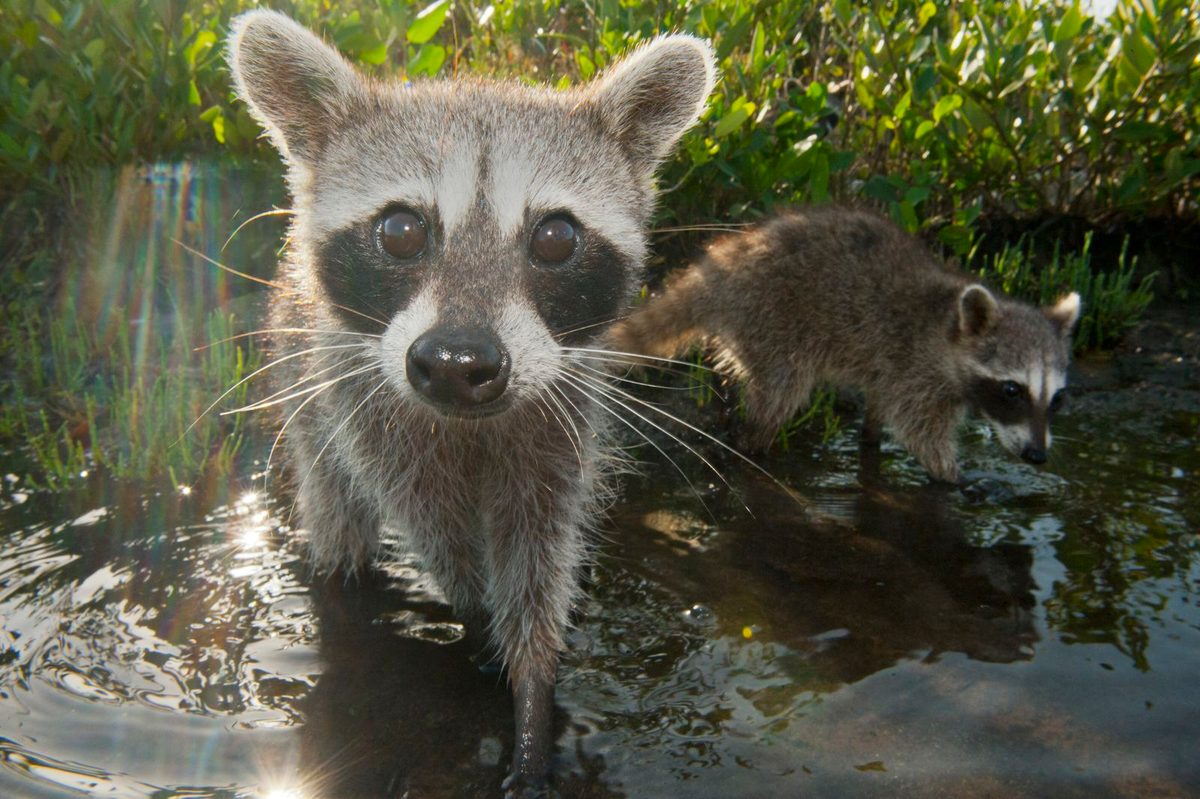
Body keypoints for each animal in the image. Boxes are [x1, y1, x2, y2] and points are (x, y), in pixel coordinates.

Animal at [226, 11, 714, 794]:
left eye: (556, 237)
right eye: (400, 230)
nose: (458, 364)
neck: (467, 424)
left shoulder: (562, 408)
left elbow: (539, 547)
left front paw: (534, 696)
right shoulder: (359, 399)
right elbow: (433, 524)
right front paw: (478, 615)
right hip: (304, 403)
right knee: (337, 518)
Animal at [608, 206, 1081, 484]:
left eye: (1057, 398)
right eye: (1011, 390)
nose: (1038, 455)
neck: (948, 324)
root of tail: (720, 265)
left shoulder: (893, 369)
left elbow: (881, 407)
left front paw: (871, 438)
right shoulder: (915, 371)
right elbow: (920, 432)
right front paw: (954, 478)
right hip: (774, 320)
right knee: (780, 394)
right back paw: (753, 444)